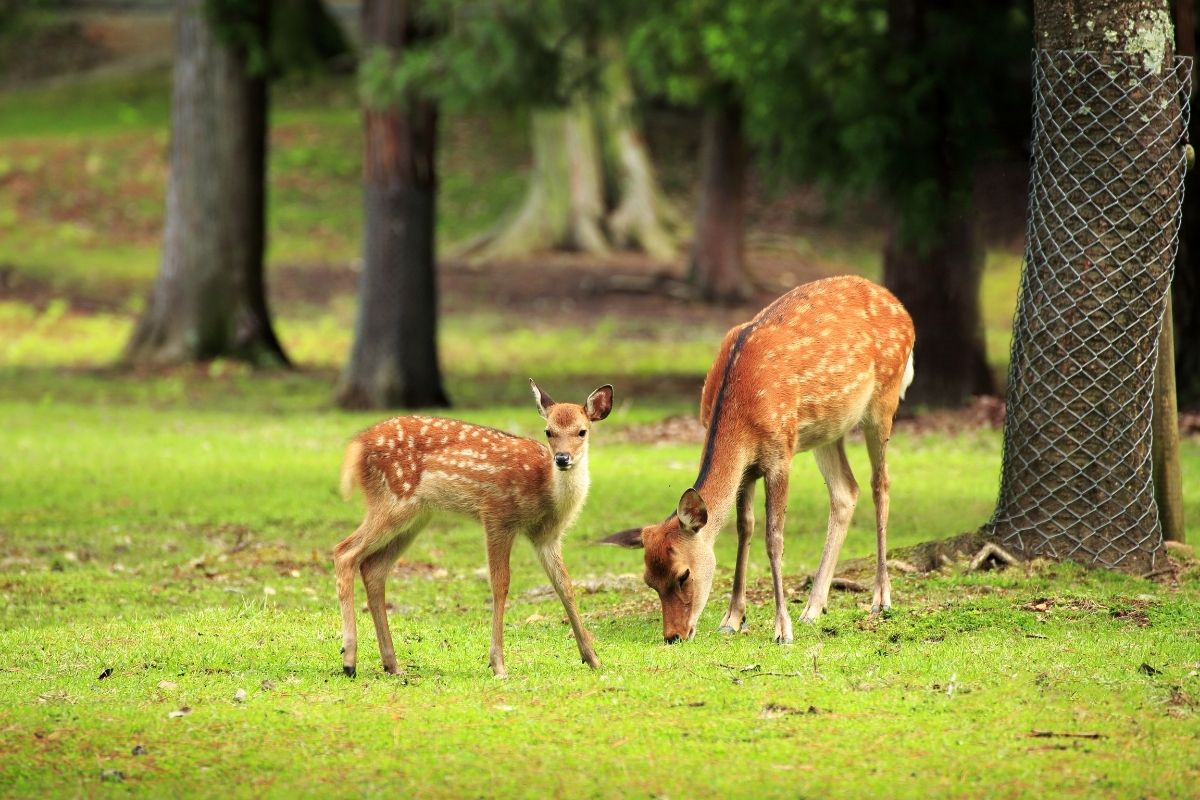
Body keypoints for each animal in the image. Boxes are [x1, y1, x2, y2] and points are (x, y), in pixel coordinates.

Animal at [338, 381, 619, 676]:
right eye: (548, 431)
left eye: (582, 431)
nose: (562, 458)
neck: (545, 489)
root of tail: (356, 446)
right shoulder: (497, 515)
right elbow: (500, 584)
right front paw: (498, 664)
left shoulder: (547, 536)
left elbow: (565, 585)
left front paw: (593, 657)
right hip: (392, 500)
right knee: (344, 551)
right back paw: (349, 660)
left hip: (415, 517)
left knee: (373, 567)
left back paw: (391, 664)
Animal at [604, 275, 912, 642]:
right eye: (650, 581)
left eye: (683, 574)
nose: (673, 635)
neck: (740, 412)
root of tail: (902, 309)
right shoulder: (747, 469)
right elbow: (744, 529)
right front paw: (733, 618)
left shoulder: (781, 453)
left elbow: (773, 538)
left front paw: (782, 629)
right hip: (828, 429)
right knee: (846, 491)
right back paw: (813, 608)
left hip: (884, 400)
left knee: (881, 484)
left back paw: (880, 599)